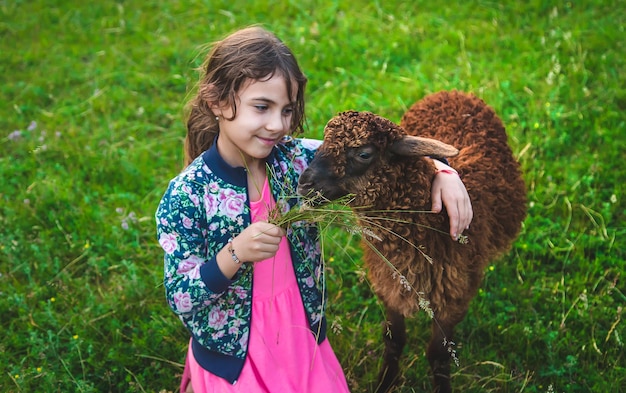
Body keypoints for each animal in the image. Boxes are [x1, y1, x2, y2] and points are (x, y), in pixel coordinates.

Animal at [294, 90, 524, 390]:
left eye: (364, 153)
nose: (304, 184)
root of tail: (454, 93)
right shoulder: (391, 283)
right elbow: (394, 340)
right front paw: (385, 382)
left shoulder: (453, 297)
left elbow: (439, 353)